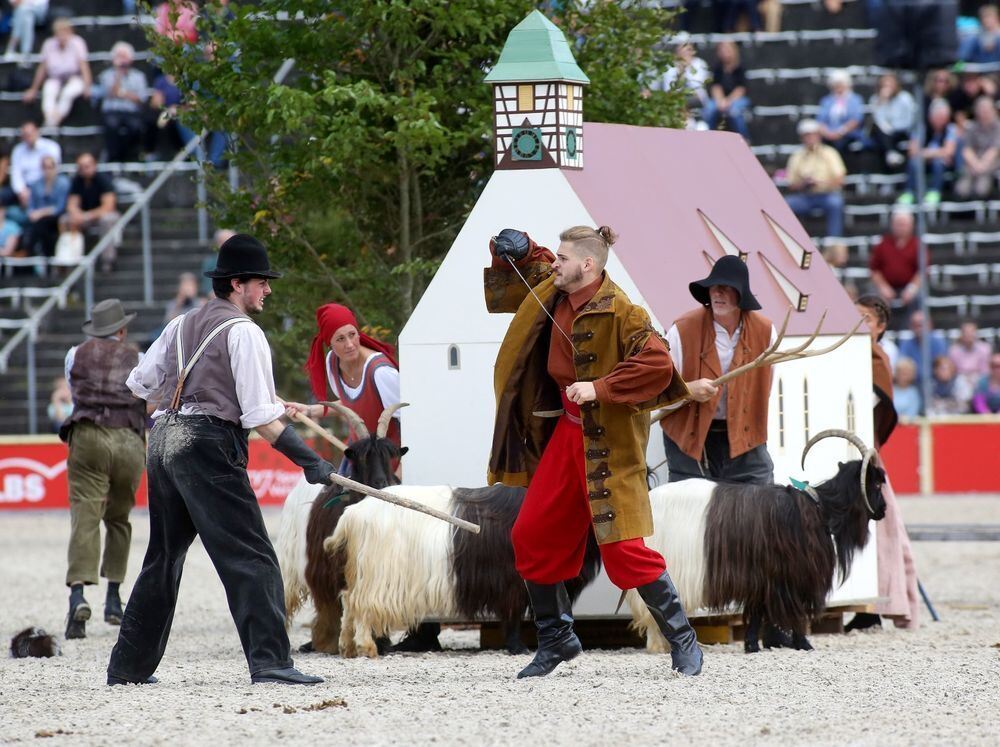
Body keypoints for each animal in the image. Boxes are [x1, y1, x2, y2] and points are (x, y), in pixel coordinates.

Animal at [628, 432, 888, 656]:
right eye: (876, 484)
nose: (883, 510)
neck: (819, 506)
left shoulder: (764, 576)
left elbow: (756, 612)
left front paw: (752, 645)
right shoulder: (794, 576)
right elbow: (796, 614)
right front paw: (803, 644)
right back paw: (659, 645)